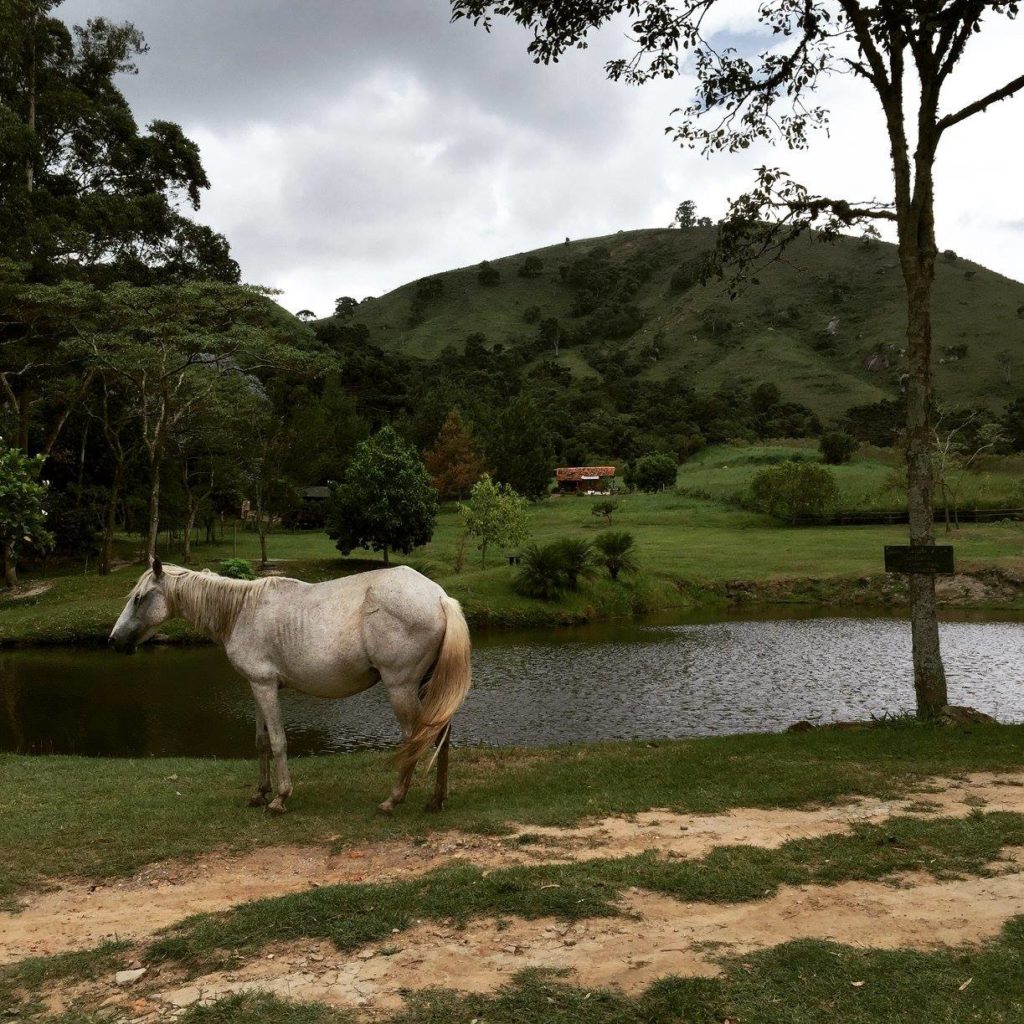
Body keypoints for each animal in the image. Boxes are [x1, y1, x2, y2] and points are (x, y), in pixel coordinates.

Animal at [109, 561, 471, 815]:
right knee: (439, 734)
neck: (242, 611)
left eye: (138, 599)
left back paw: (393, 800)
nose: (113, 641)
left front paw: (280, 798)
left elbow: (279, 741)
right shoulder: (257, 686)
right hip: (424, 687)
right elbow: (261, 742)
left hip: (401, 687)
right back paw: (436, 800)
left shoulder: (265, 686)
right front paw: (260, 792)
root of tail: (440, 597)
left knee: (414, 738)